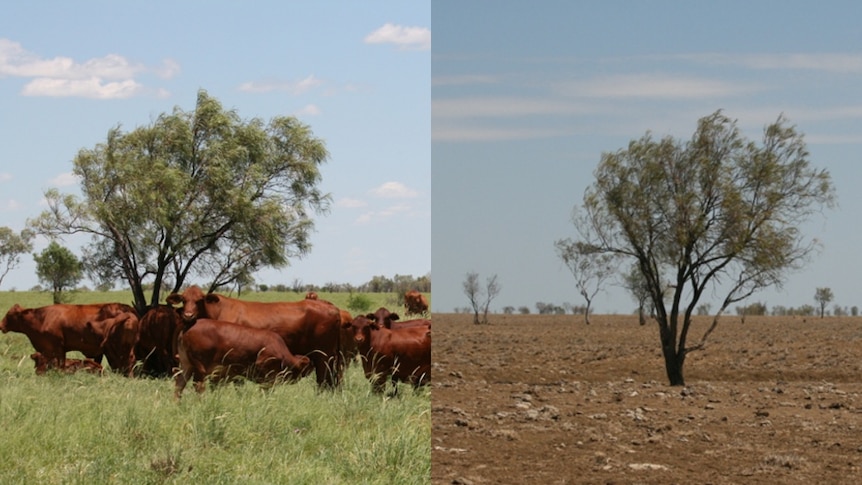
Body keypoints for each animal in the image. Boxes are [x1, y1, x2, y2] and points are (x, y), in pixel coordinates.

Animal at [0, 300, 136, 368]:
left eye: (9, 315)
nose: (1, 325)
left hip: (119, 349)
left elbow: (60, 365)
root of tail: (127, 309)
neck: (41, 318)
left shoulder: (57, 348)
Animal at [165, 286, 344, 388]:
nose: (188, 315)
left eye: (199, 300)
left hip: (323, 357)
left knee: (323, 382)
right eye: (183, 300)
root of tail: (332, 308)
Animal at [174, 318, 312, 398]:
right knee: (198, 386)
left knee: (179, 384)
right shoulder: (267, 375)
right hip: (200, 368)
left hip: (187, 366)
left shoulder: (232, 376)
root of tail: (189, 326)